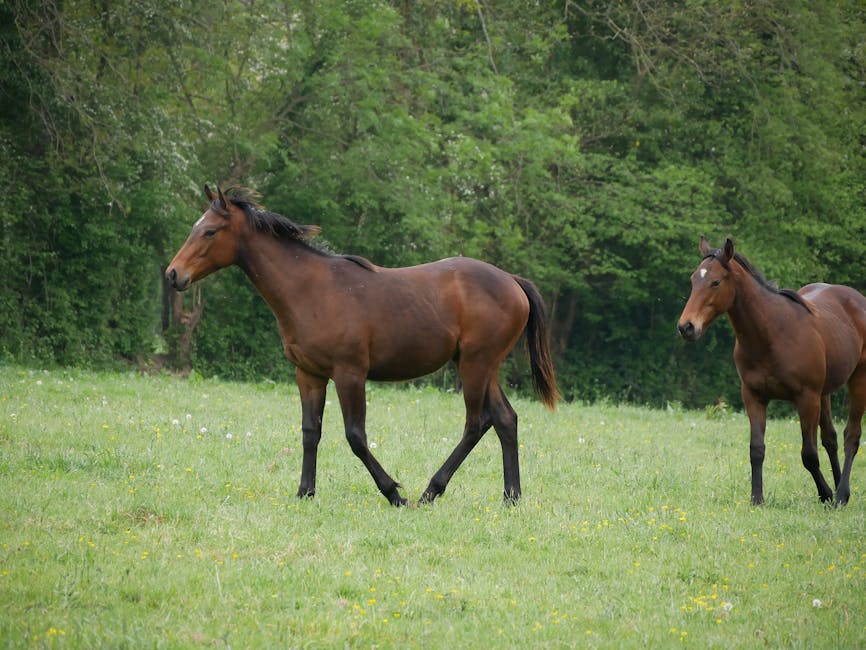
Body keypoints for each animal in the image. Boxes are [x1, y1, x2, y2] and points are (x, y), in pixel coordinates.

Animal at [167, 185, 560, 504]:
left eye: (210, 231)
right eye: (194, 228)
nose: (173, 274)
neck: (311, 290)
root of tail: (512, 280)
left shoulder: (349, 374)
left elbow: (355, 436)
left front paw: (394, 493)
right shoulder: (308, 374)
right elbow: (310, 432)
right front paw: (305, 493)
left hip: (475, 365)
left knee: (476, 423)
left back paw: (430, 491)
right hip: (481, 365)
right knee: (505, 419)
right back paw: (511, 497)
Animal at [676, 235, 864, 504]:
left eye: (715, 282)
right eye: (693, 280)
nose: (686, 327)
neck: (771, 334)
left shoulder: (806, 398)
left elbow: (809, 454)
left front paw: (826, 493)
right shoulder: (753, 396)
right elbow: (756, 449)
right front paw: (757, 498)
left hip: (858, 380)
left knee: (851, 436)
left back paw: (841, 495)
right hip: (825, 393)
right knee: (831, 438)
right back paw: (839, 487)